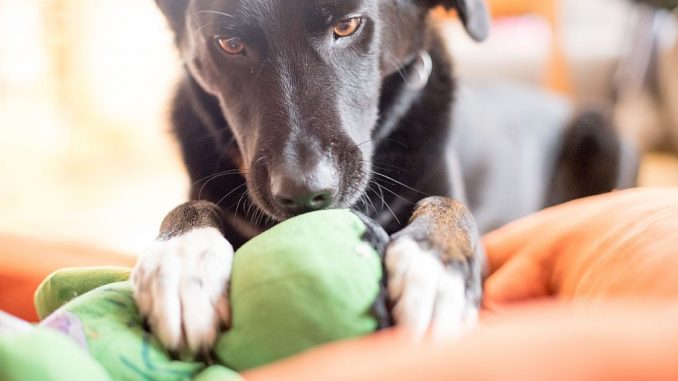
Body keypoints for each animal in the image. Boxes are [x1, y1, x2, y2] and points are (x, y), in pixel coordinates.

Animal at [131, 0, 636, 352]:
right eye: (229, 44)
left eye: (348, 25)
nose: (304, 193)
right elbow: (189, 206)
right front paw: (183, 259)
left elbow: (450, 208)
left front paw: (436, 267)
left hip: (609, 135)